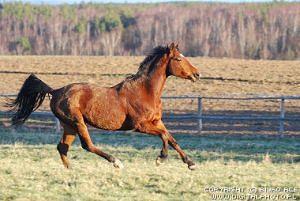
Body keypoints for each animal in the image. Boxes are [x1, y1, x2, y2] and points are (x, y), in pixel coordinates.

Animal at [9, 42, 200, 170]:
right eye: (178, 58)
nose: (197, 74)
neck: (145, 91)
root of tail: (55, 91)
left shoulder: (156, 122)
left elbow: (171, 138)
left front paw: (190, 163)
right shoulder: (141, 126)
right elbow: (164, 136)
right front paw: (161, 158)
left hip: (69, 126)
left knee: (62, 147)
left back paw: (70, 170)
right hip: (77, 122)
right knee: (87, 145)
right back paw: (116, 162)